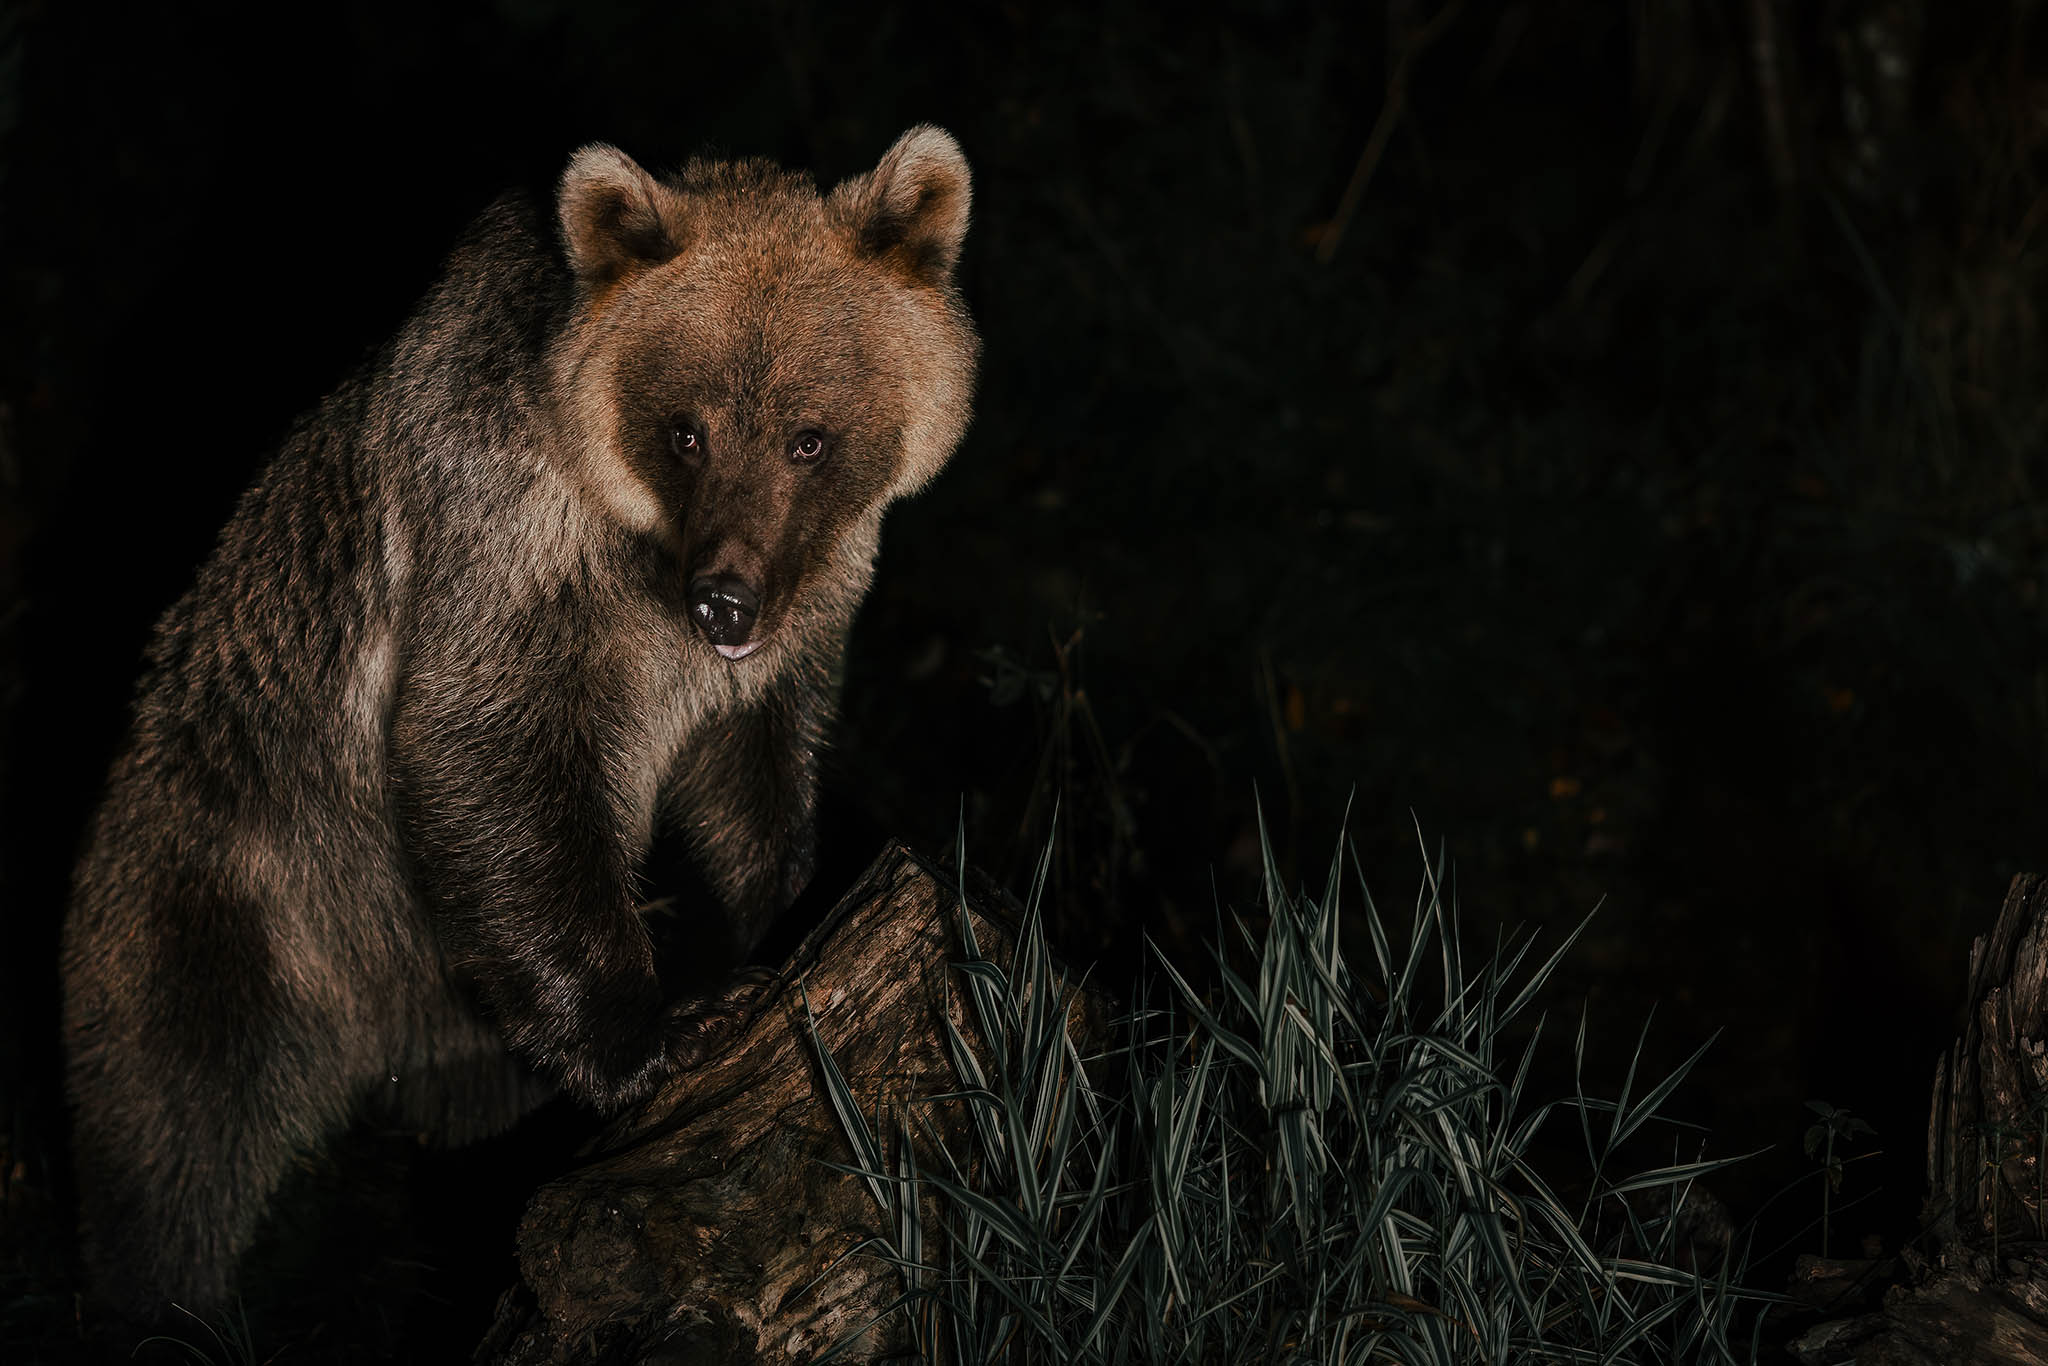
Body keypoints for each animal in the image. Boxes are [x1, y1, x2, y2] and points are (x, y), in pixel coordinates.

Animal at [59, 125, 978, 1318]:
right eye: (686, 430)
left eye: (807, 437)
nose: (723, 603)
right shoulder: (503, 552)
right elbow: (497, 761)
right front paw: (661, 1029)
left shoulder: (788, 636)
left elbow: (752, 786)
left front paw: (777, 923)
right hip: (231, 896)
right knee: (174, 1143)